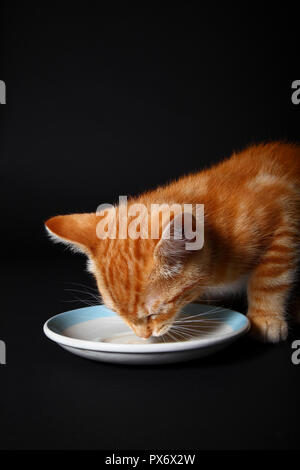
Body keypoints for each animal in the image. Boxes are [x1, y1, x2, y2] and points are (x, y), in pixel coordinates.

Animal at [45, 141, 300, 344]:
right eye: (117, 314)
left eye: (154, 313)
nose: (143, 336)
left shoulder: (285, 216)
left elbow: (270, 278)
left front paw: (265, 318)